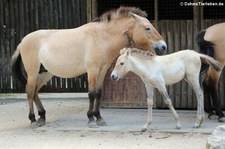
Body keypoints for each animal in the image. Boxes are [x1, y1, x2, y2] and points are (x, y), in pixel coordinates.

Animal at [11, 7, 167, 127]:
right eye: (147, 28)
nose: (163, 47)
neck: (101, 37)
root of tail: (22, 42)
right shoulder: (92, 70)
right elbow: (91, 94)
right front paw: (91, 119)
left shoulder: (102, 70)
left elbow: (99, 93)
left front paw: (99, 118)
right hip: (33, 72)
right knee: (30, 92)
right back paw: (33, 120)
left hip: (44, 73)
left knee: (35, 91)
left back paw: (42, 117)